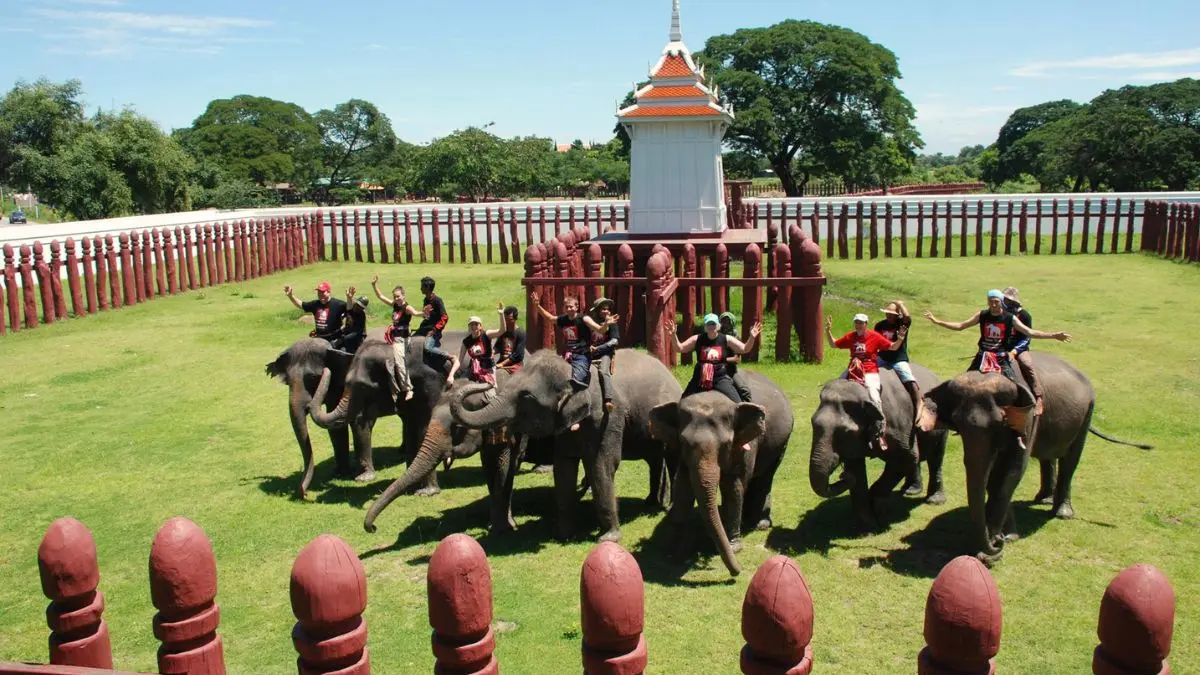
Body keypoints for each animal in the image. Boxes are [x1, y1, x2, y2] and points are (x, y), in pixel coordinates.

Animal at [304, 326, 463, 492]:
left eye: (363, 386)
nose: (325, 370)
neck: (392, 352)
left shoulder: (432, 386)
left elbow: (426, 429)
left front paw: (427, 492)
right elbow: (411, 428)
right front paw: (410, 487)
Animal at [451, 345, 681, 540]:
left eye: (526, 397)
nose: (484, 381)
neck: (576, 376)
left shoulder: (607, 419)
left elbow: (602, 466)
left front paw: (609, 538)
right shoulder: (564, 426)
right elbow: (563, 469)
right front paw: (563, 534)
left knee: (671, 458)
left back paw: (668, 508)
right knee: (655, 459)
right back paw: (652, 502)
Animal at [648, 367, 796, 571]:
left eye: (726, 444)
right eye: (684, 442)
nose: (738, 571)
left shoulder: (744, 445)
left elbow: (733, 486)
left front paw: (734, 547)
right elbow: (683, 487)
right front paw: (676, 548)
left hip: (781, 441)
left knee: (764, 478)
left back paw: (759, 524)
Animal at [811, 360, 950, 528]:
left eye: (845, 432)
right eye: (813, 423)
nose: (842, 474)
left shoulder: (899, 423)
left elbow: (906, 457)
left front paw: (877, 507)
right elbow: (856, 470)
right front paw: (868, 526)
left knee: (935, 457)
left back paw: (934, 500)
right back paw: (910, 490)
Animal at [916, 348, 1152, 564]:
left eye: (999, 422)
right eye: (957, 422)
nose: (996, 543)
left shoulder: (1028, 417)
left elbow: (1012, 471)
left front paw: (996, 544)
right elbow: (994, 475)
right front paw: (1003, 535)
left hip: (1087, 411)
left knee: (1071, 460)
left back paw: (1061, 512)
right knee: (1049, 456)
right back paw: (1043, 499)